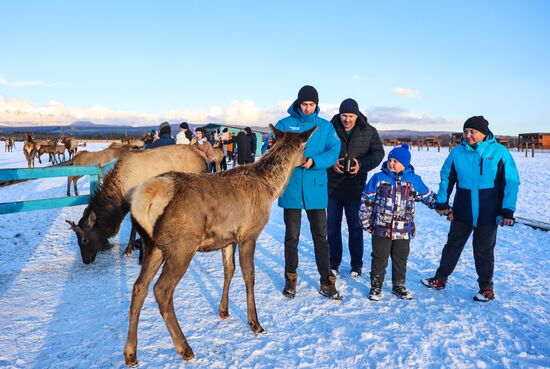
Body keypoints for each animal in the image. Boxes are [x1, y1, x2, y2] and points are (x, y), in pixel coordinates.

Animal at [64, 142, 210, 264]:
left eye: (84, 240)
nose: (86, 261)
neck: (121, 195)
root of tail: (203, 156)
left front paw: (141, 256)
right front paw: (129, 249)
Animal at [123, 123, 316, 362]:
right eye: (304, 147)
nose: (308, 161)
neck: (270, 190)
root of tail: (147, 197)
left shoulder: (228, 239)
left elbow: (229, 271)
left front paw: (223, 311)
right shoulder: (248, 234)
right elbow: (249, 276)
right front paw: (255, 323)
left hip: (153, 245)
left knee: (139, 287)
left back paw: (131, 353)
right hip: (182, 246)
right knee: (161, 290)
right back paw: (185, 348)